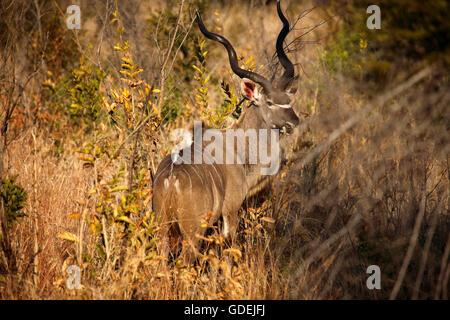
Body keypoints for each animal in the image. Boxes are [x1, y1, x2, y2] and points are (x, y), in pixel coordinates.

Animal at [154, 1, 298, 262]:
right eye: (269, 102)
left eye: (288, 99)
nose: (294, 121)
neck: (239, 147)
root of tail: (170, 181)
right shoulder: (230, 211)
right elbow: (229, 250)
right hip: (191, 233)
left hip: (162, 229)